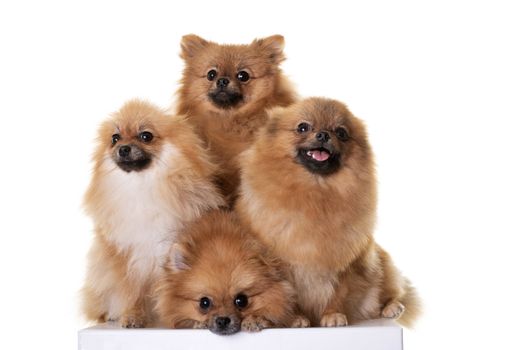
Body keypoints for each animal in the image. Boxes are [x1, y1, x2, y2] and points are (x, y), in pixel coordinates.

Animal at [82, 99, 225, 328]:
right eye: (115, 138)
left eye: (146, 136)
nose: (123, 149)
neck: (142, 186)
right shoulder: (125, 258)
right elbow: (131, 293)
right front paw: (132, 316)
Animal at [237, 98, 420, 328]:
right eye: (303, 127)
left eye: (341, 132)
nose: (323, 134)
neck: (316, 193)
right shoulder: (282, 266)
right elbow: (289, 296)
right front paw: (295, 318)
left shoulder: (344, 260)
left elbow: (337, 293)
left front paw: (332, 315)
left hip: (380, 262)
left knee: (390, 288)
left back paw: (391, 307)